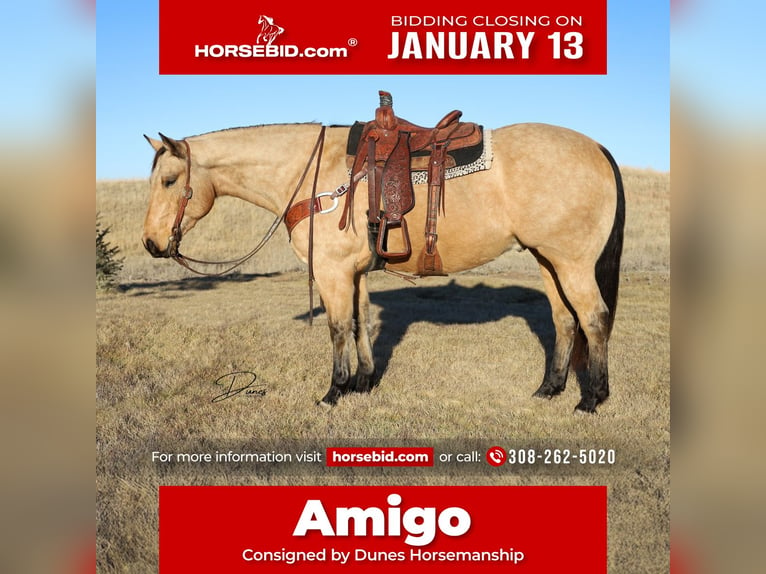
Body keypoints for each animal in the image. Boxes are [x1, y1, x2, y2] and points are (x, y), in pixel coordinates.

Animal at [141, 97, 628, 416]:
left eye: (169, 180)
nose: (150, 242)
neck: (314, 174)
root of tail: (598, 149)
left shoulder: (333, 272)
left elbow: (338, 328)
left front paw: (334, 392)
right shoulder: (353, 273)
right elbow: (360, 323)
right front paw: (363, 383)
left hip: (572, 264)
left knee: (593, 319)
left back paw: (591, 398)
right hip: (549, 261)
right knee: (564, 321)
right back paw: (550, 389)